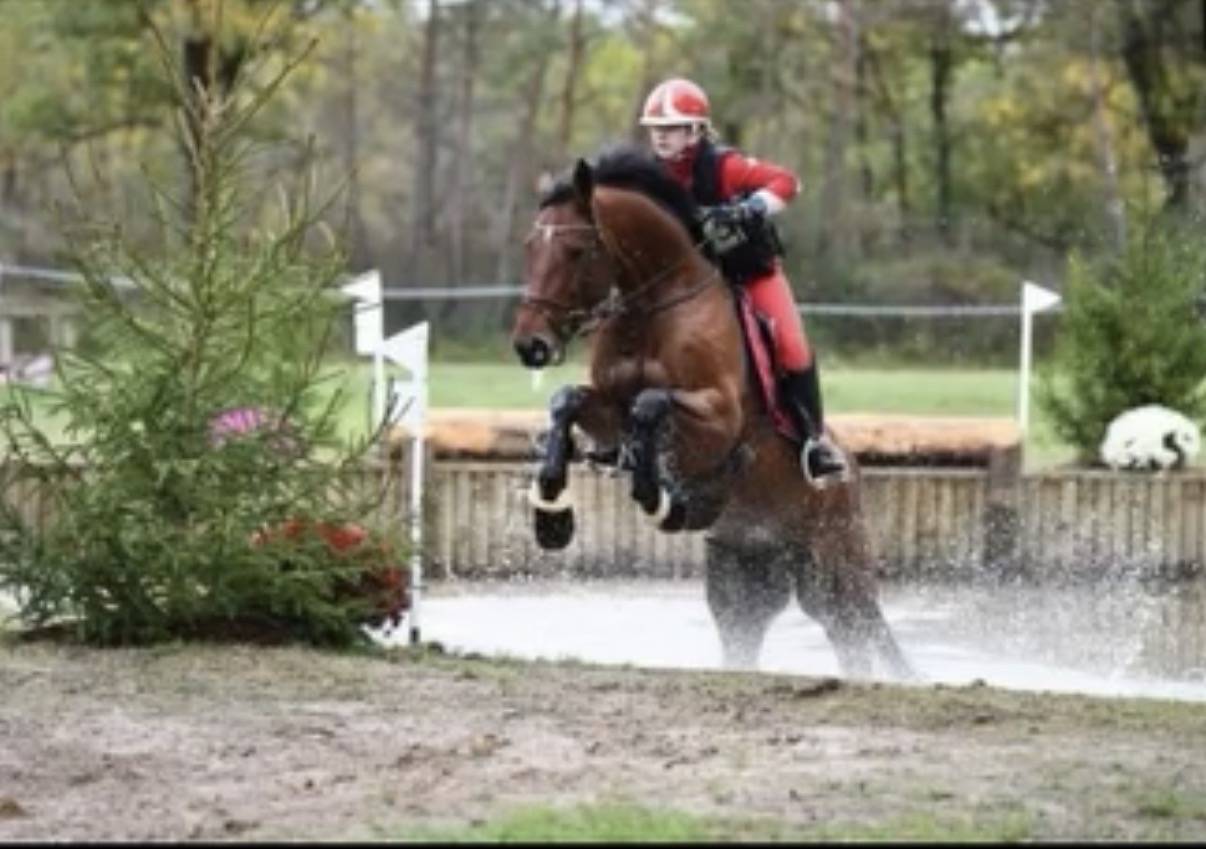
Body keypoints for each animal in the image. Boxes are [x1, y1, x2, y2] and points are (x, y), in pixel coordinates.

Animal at [511, 145, 913, 680]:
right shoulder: (608, 408)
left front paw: (660, 497)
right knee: (747, 634)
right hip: (743, 576)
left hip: (833, 568)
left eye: (576, 251)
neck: (653, 304)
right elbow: (567, 401)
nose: (530, 345)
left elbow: (651, 403)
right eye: (530, 247)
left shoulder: (720, 419)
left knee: (854, 632)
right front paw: (552, 514)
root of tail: (853, 477)